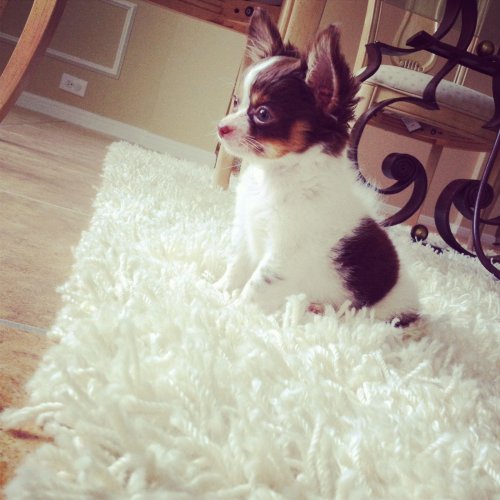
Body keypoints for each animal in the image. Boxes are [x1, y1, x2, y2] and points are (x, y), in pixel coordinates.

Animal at [216, 8, 419, 325]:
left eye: (262, 114)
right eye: (237, 101)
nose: (221, 127)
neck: (275, 176)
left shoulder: (284, 253)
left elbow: (257, 284)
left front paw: (233, 312)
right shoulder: (247, 232)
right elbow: (237, 266)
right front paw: (217, 291)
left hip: (380, 312)